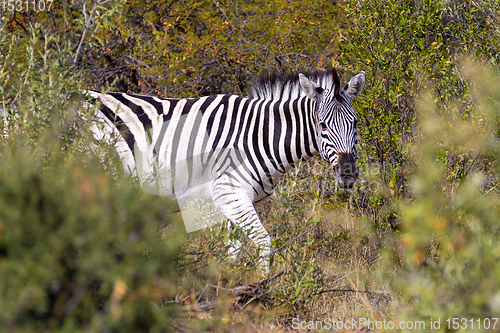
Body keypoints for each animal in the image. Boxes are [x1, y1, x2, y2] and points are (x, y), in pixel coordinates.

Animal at [84, 67, 366, 272]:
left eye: (355, 124)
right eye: (322, 125)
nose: (348, 172)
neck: (256, 136)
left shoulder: (235, 199)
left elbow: (234, 250)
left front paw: (230, 290)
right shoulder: (229, 193)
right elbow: (264, 243)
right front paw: (262, 292)